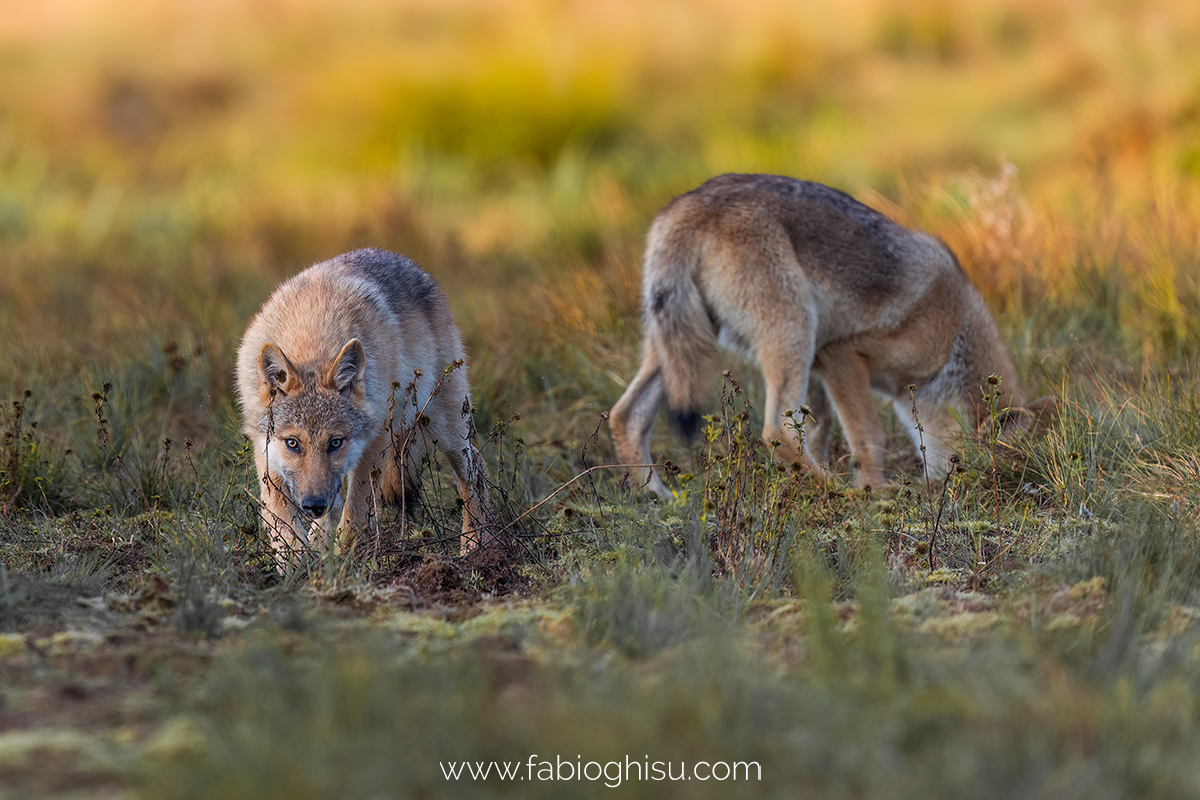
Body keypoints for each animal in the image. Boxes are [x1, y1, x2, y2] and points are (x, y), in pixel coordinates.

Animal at [236, 248, 494, 563]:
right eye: (292, 443)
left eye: (335, 442)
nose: (313, 505)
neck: (310, 339)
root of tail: (406, 261)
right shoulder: (265, 452)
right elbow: (280, 518)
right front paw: (297, 564)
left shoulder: (375, 441)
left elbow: (355, 515)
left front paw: (343, 561)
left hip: (445, 429)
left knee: (476, 470)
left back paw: (474, 547)